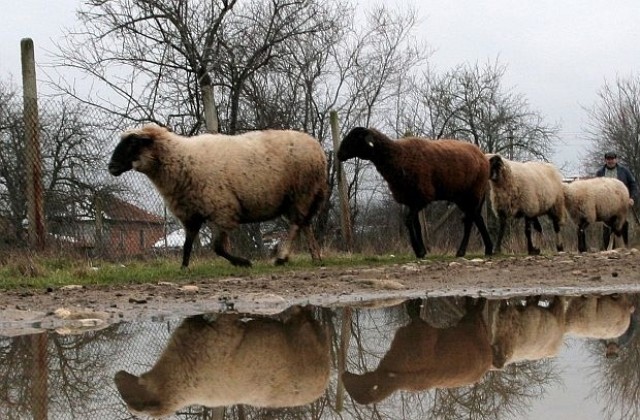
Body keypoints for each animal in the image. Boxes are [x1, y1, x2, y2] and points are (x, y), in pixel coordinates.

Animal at [108, 123, 328, 268]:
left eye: (133, 143)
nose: (111, 167)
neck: (179, 158)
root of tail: (318, 147)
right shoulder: (191, 213)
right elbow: (187, 244)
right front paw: (184, 268)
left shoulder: (222, 209)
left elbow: (217, 248)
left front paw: (243, 262)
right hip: (298, 196)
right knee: (305, 223)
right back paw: (315, 255)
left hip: (302, 191)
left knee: (297, 224)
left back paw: (282, 256)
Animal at [114, 306, 330, 417]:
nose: (117, 375)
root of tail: (327, 372)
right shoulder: (223, 331)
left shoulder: (222, 330)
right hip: (304, 333)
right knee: (304, 317)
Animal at [337, 127, 493, 258]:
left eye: (355, 138)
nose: (339, 154)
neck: (397, 156)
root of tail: (482, 156)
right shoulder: (410, 199)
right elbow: (416, 225)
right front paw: (422, 251)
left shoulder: (421, 197)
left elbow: (408, 221)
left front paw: (418, 250)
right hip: (463, 196)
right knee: (478, 218)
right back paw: (488, 249)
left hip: (472, 192)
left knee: (470, 220)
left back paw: (462, 251)